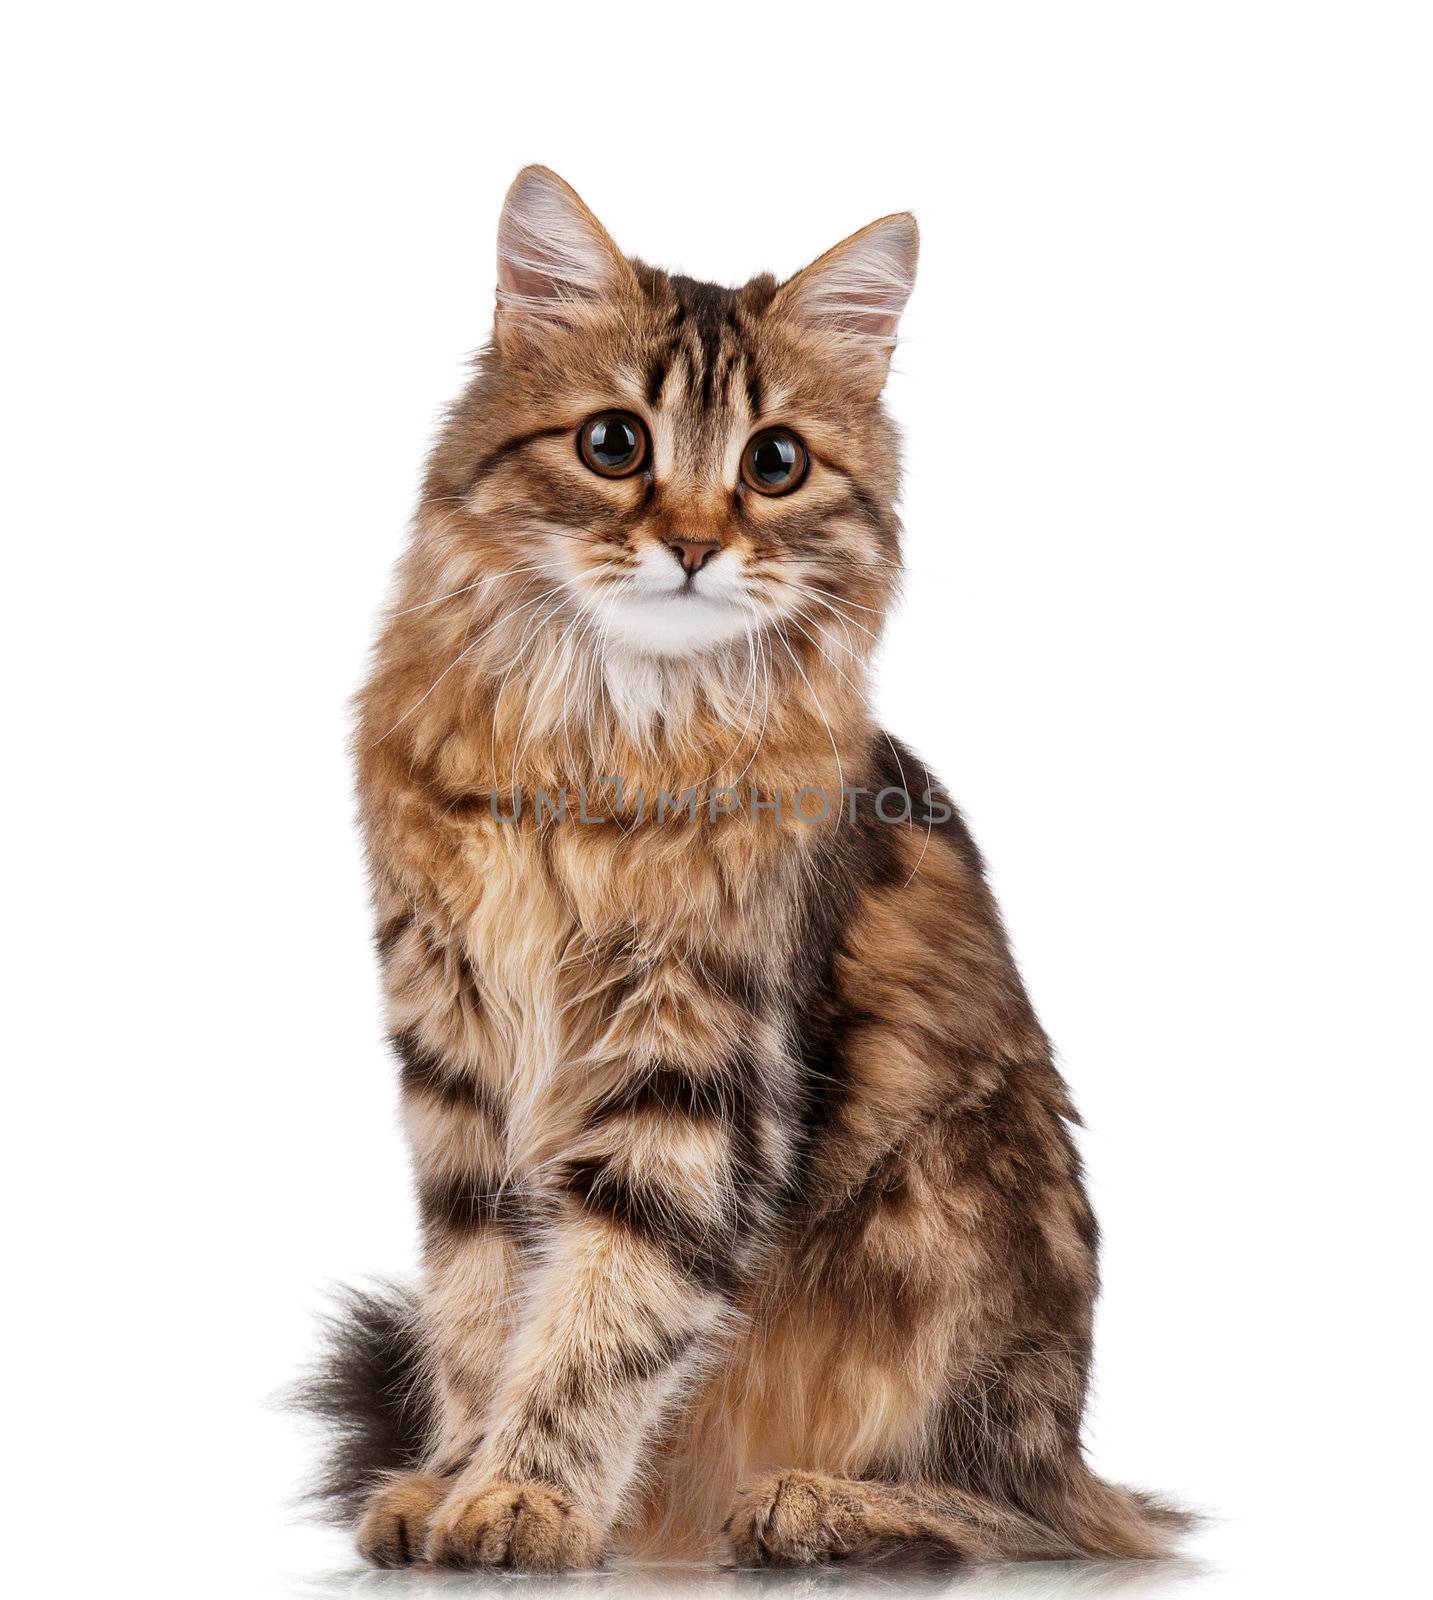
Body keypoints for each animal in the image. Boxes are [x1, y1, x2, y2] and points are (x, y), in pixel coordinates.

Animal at [294, 165, 1189, 1574]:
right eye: (614, 444)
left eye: (774, 464)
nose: (695, 544)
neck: (601, 731)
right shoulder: (453, 1054)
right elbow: (482, 1305)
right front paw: (447, 1479)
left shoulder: (697, 1065)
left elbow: (603, 1316)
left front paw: (526, 1496)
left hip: (963, 1229)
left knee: (1036, 1515)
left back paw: (811, 1505)